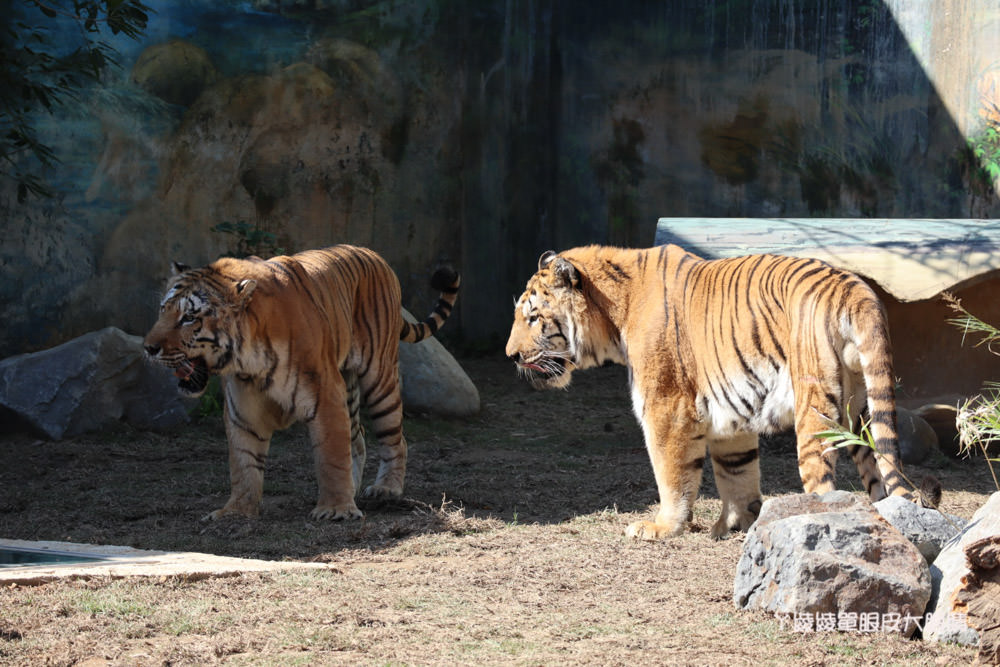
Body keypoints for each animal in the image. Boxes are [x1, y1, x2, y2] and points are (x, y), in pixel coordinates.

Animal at [143, 245, 458, 520]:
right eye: (162, 310)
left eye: (189, 317)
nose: (148, 348)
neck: (248, 360)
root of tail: (375, 255)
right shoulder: (243, 410)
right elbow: (243, 463)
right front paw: (236, 511)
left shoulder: (325, 396)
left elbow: (331, 456)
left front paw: (336, 510)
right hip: (348, 386)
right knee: (357, 438)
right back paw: (354, 489)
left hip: (379, 380)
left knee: (395, 439)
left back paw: (386, 489)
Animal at [504, 245, 924, 544]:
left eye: (533, 317)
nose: (511, 356)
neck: (613, 311)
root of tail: (855, 289)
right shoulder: (732, 412)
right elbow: (737, 473)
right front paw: (736, 524)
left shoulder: (666, 406)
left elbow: (671, 472)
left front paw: (662, 527)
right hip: (862, 409)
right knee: (880, 475)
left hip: (816, 408)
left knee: (822, 482)